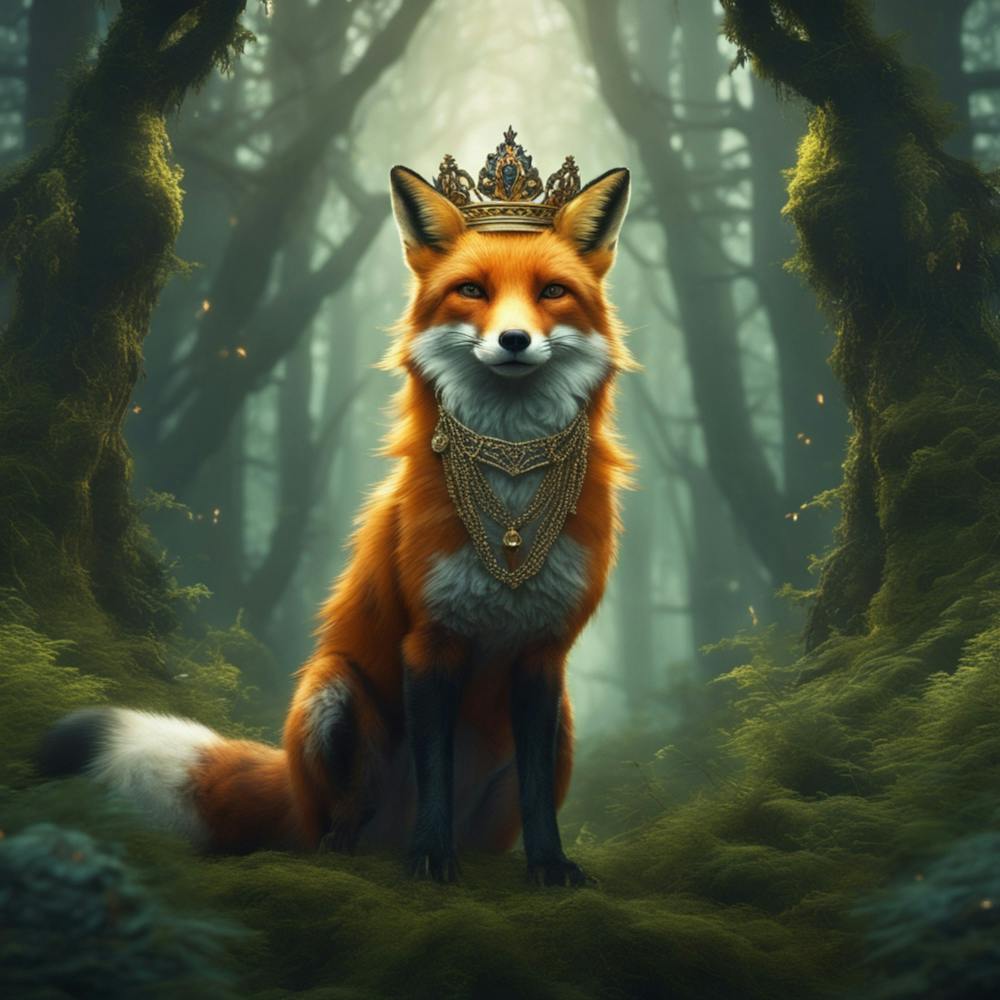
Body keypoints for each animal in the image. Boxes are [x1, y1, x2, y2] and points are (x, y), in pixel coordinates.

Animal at [40, 150, 632, 886]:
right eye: (472, 290)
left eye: (552, 292)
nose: (515, 340)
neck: (512, 502)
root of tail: (294, 791)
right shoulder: (429, 641)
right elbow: (433, 770)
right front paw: (430, 859)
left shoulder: (544, 654)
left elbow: (535, 793)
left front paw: (549, 865)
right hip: (331, 692)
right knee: (338, 819)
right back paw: (353, 848)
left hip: (563, 727)